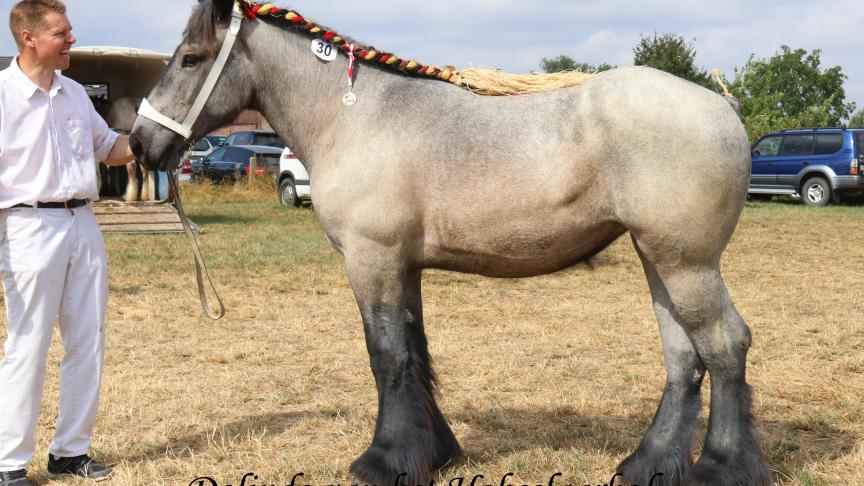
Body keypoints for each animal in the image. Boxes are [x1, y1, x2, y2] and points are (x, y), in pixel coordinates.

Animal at [132, 1, 772, 484]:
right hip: (657, 259)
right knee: (684, 358)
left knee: (724, 345)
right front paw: (432, 453)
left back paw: (719, 468)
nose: (140, 143)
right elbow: (415, 352)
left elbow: (387, 356)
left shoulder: (372, 260)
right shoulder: (403, 266)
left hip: (688, 264)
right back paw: (649, 464)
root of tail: (722, 103)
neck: (355, 117)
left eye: (190, 57)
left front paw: (383, 461)